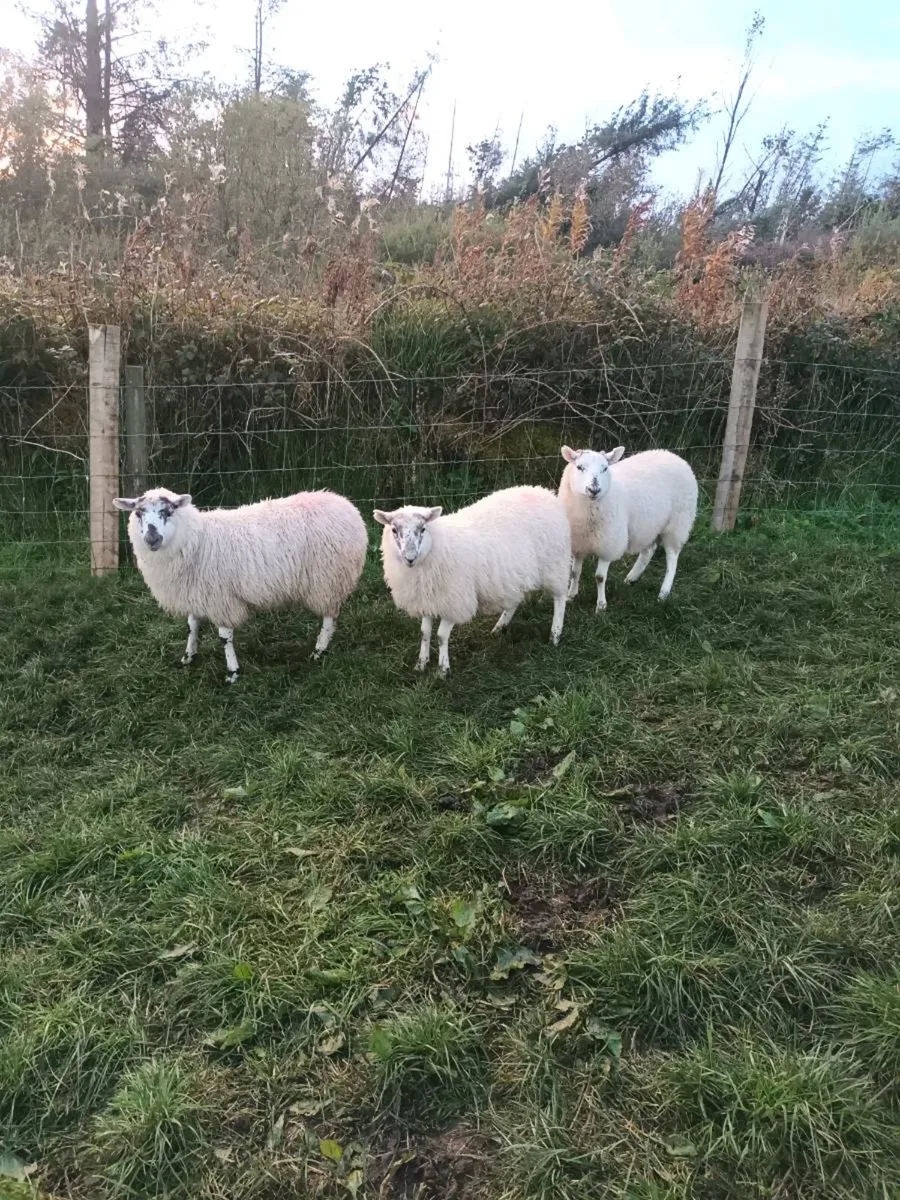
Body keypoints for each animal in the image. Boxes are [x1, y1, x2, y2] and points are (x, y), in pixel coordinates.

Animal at [112, 487, 367, 683]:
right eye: (138, 513)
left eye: (166, 511)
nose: (152, 539)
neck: (196, 540)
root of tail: (346, 505)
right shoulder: (196, 591)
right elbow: (192, 625)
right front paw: (188, 656)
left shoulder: (221, 599)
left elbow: (224, 637)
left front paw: (232, 672)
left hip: (329, 579)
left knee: (329, 617)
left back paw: (319, 650)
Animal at [373, 486, 571, 676]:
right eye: (394, 530)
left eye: (422, 529)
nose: (410, 558)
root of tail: (544, 492)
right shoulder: (428, 599)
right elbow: (425, 633)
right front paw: (421, 664)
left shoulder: (455, 601)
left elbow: (441, 636)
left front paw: (443, 670)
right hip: (515, 575)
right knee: (514, 601)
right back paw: (500, 627)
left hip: (555, 565)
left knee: (560, 599)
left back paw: (555, 635)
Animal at [558, 445, 698, 611]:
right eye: (579, 467)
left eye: (605, 468)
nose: (594, 489)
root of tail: (674, 456)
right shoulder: (579, 543)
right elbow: (575, 572)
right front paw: (570, 596)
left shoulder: (609, 545)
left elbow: (600, 577)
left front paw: (601, 606)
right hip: (650, 525)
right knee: (648, 550)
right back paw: (632, 578)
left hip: (677, 524)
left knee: (672, 558)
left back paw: (663, 593)